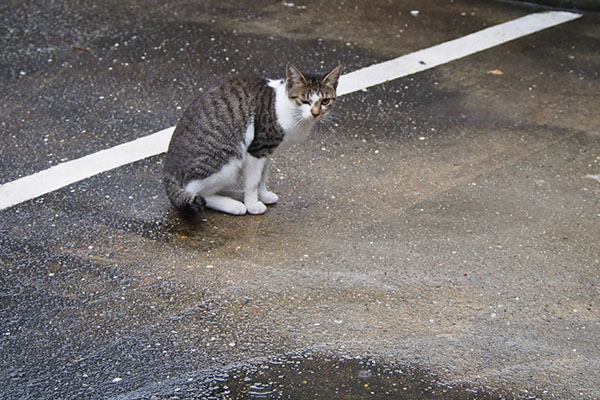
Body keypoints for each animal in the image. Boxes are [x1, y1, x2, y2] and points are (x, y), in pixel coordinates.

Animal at [163, 63, 342, 217]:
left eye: (325, 101)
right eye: (304, 101)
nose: (315, 113)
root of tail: (168, 173)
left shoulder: (267, 152)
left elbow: (262, 177)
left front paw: (263, 195)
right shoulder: (257, 149)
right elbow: (253, 182)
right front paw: (252, 204)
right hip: (228, 159)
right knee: (198, 192)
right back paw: (234, 205)